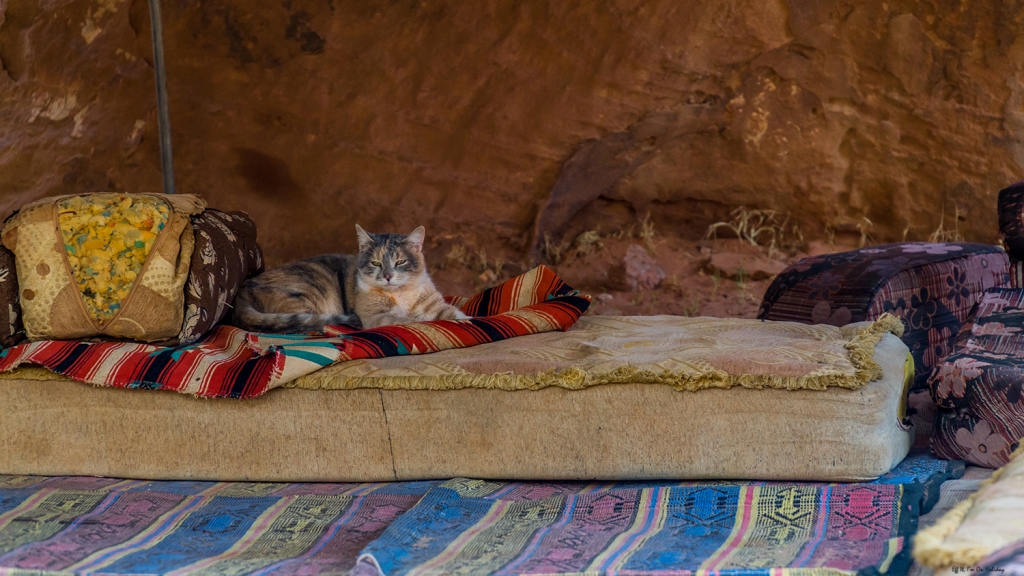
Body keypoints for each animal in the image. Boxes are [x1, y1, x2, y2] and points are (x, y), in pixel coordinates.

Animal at [229, 224, 468, 332]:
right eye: (376, 263)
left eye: (400, 262)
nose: (388, 276)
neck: (400, 294)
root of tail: (242, 292)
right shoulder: (376, 316)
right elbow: (410, 320)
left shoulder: (435, 304)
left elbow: (456, 315)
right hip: (308, 296)